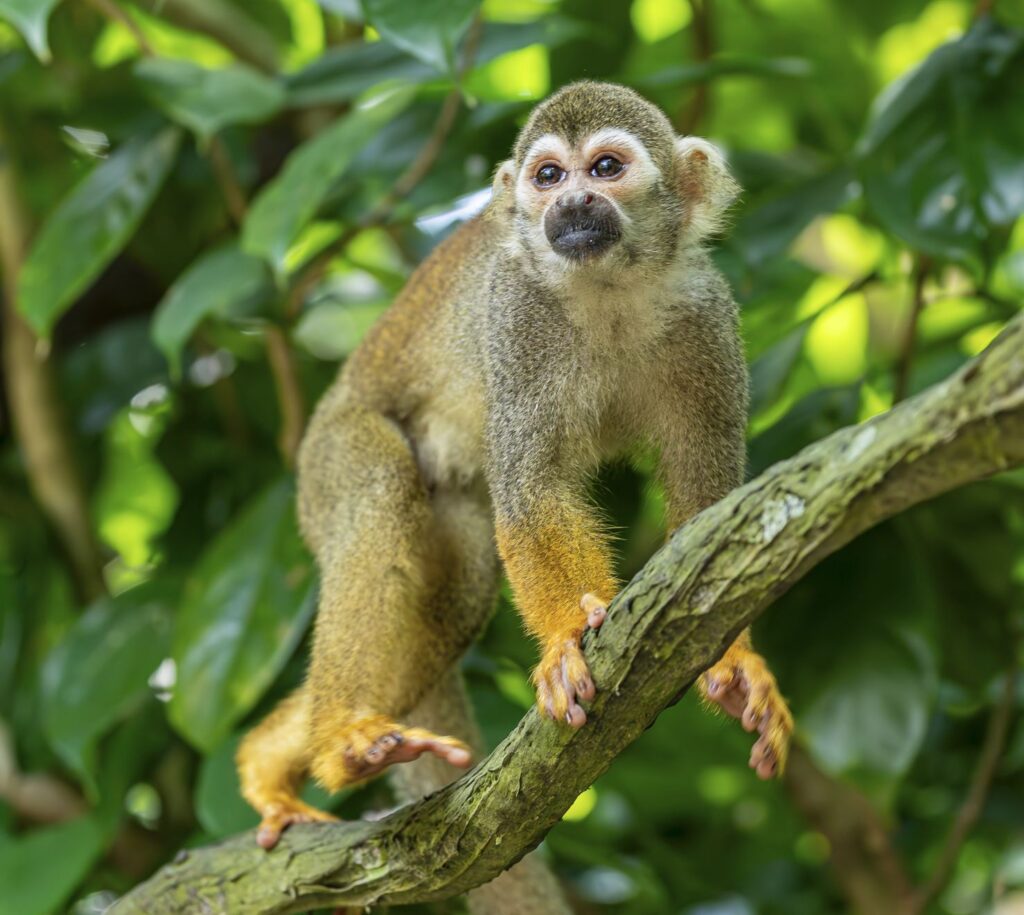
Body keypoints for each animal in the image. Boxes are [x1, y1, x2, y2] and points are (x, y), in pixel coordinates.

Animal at [237, 81, 794, 908]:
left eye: (606, 167)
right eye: (548, 176)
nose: (571, 204)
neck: (608, 290)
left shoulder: (707, 320)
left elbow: (710, 517)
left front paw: (734, 663)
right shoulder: (518, 315)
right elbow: (531, 492)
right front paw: (565, 640)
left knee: (454, 599)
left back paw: (274, 758)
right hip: (334, 450)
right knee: (380, 501)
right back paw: (339, 740)